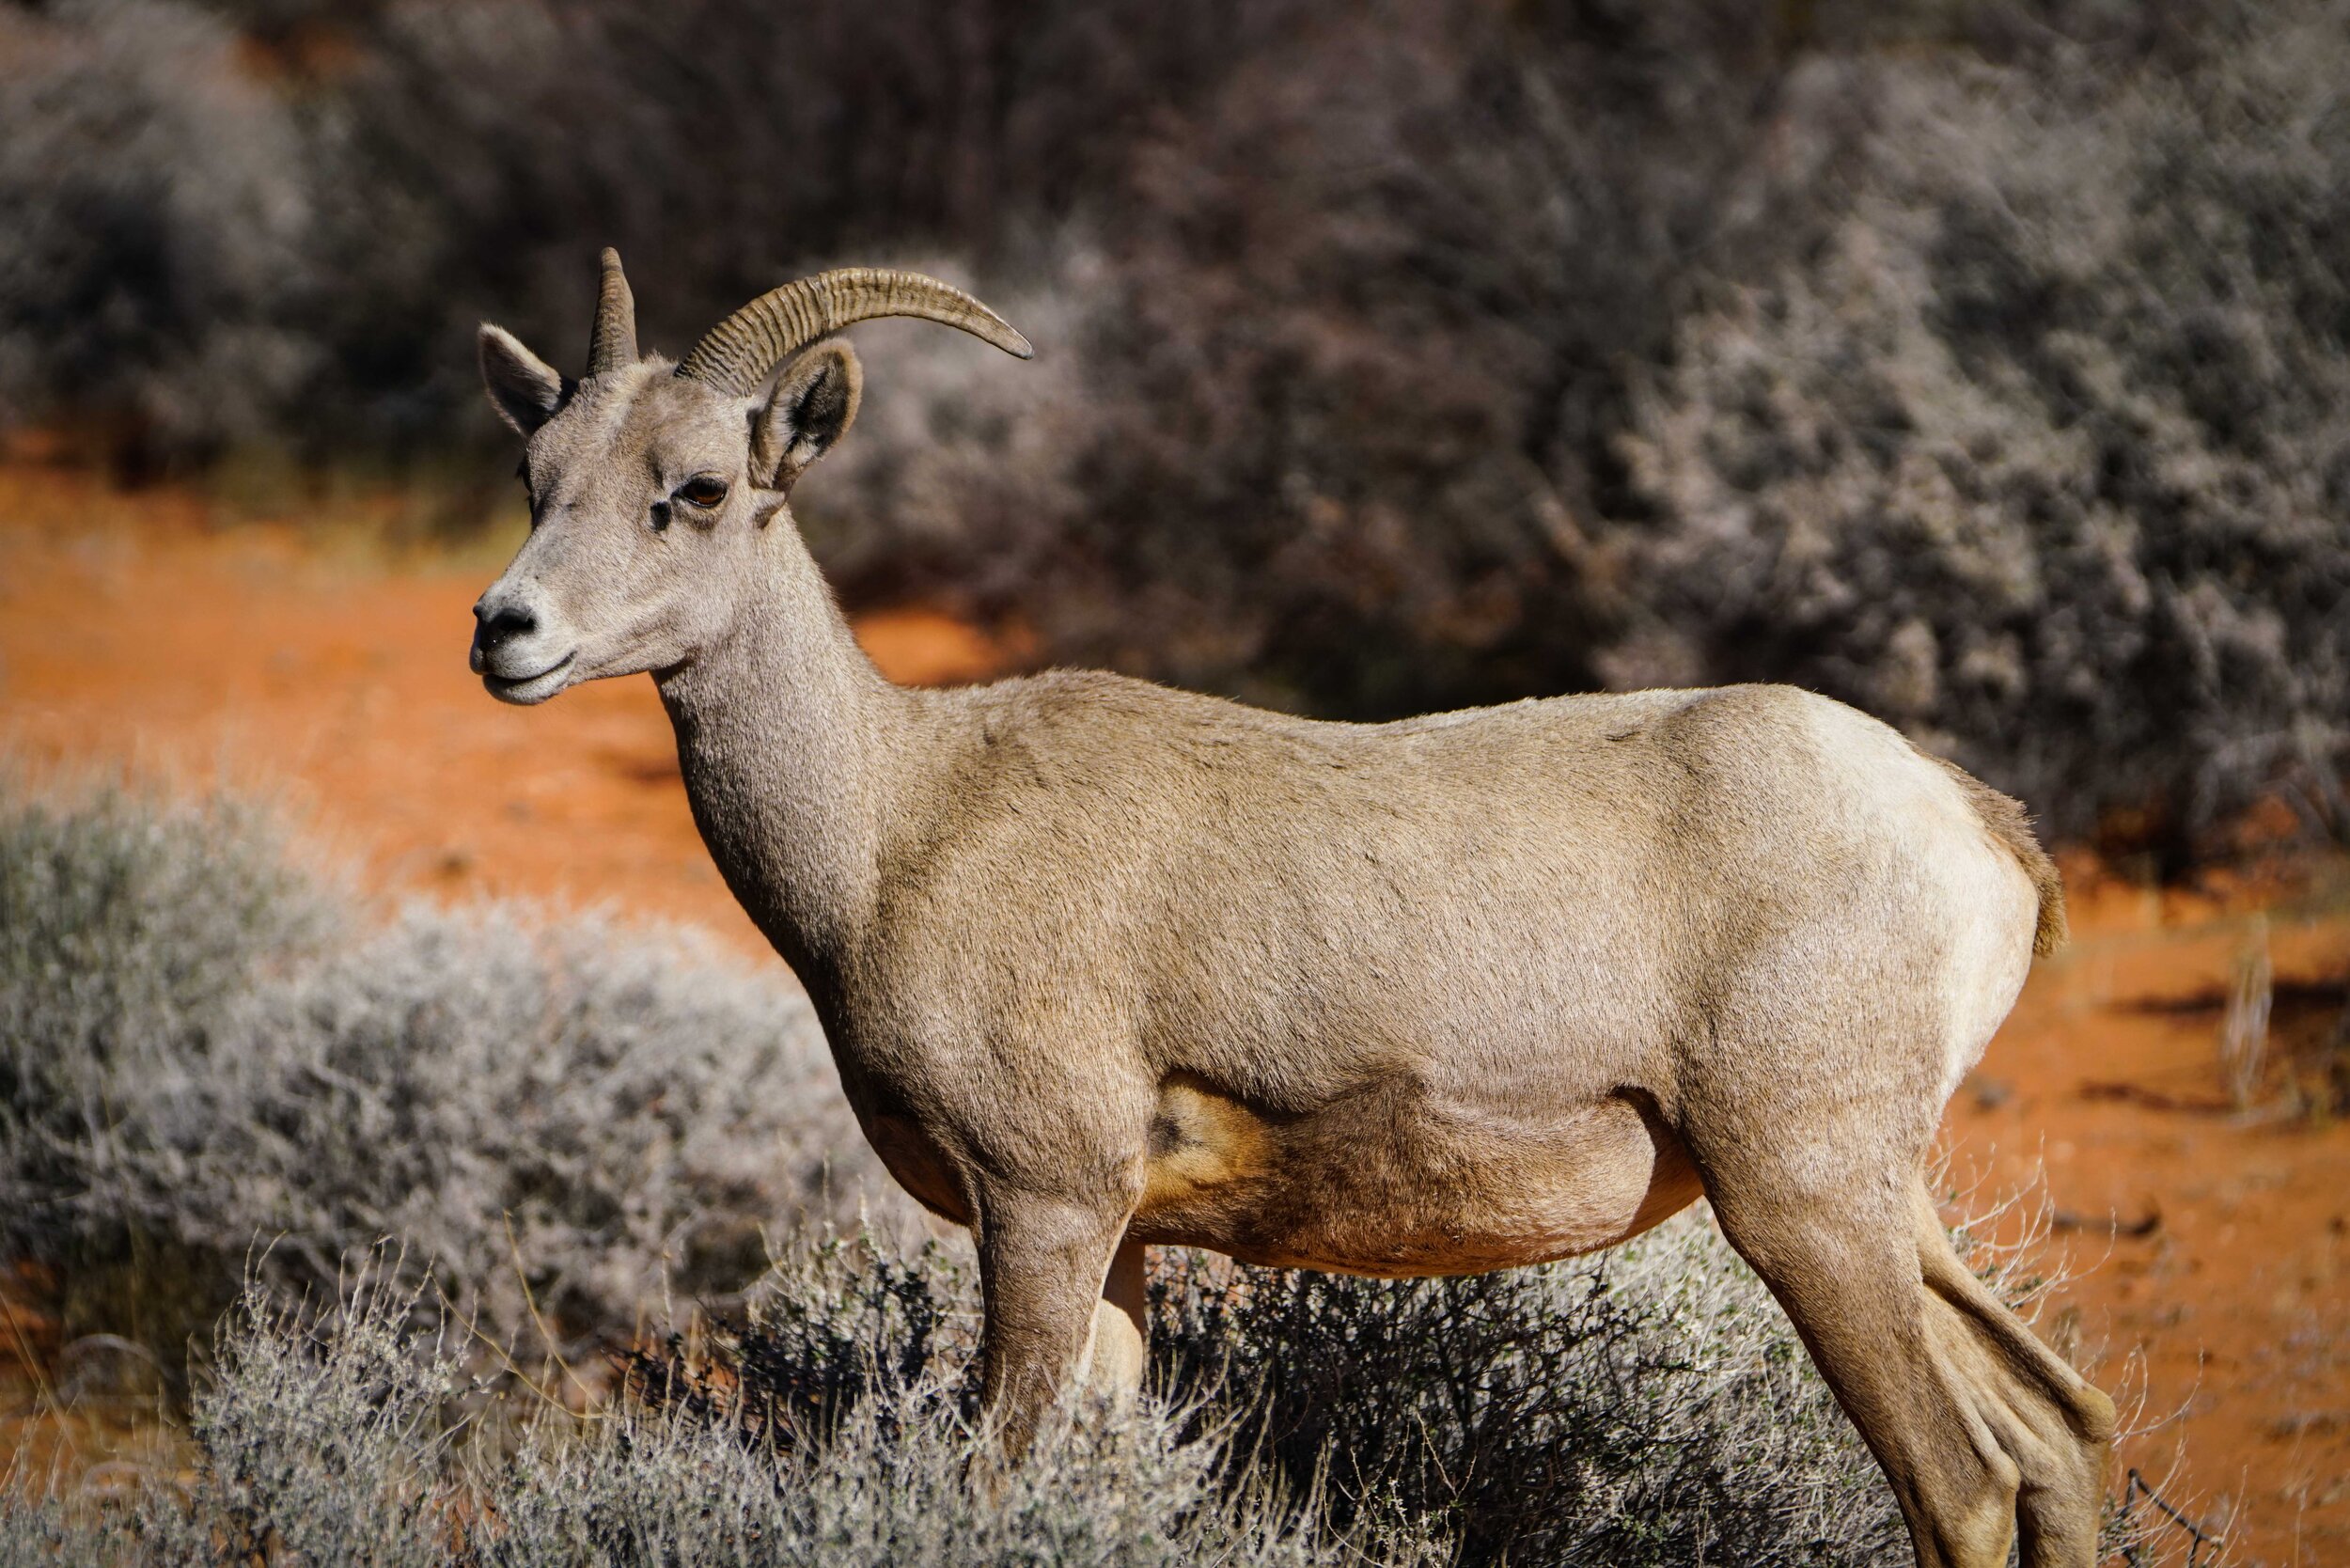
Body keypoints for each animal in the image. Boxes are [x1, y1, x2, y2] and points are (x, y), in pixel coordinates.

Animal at [472, 251, 2115, 1560]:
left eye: (696, 491)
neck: (897, 828)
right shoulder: (1115, 1243)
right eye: (538, 478)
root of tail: (1971, 825)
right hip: (1884, 1206)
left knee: (1966, 1484)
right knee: (2057, 1442)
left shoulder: (1042, 1210)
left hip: (1806, 1208)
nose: (506, 630)